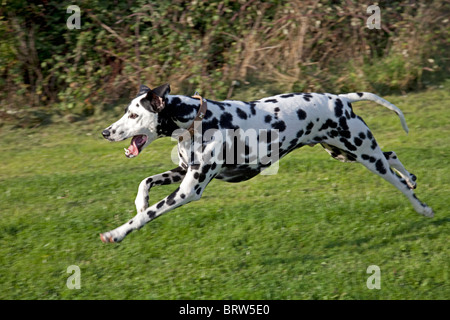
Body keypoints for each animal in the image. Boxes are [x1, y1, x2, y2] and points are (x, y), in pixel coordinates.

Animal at [101, 84, 432, 241]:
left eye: (134, 114)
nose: (105, 132)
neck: (197, 118)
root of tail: (340, 98)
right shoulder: (183, 172)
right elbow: (145, 182)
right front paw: (140, 202)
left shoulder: (187, 191)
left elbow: (145, 217)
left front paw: (116, 233)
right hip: (346, 152)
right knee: (392, 156)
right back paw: (412, 178)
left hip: (364, 154)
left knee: (395, 178)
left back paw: (421, 206)